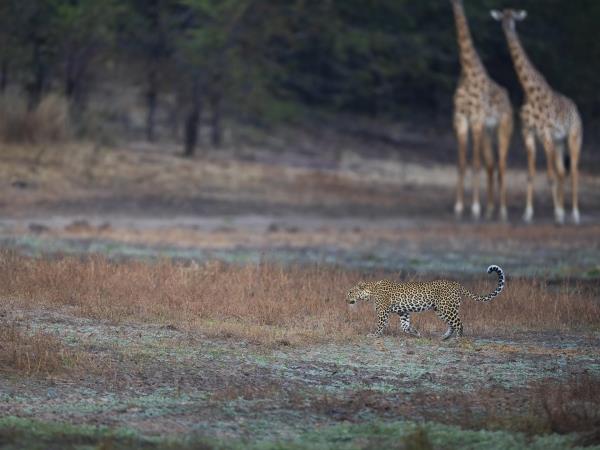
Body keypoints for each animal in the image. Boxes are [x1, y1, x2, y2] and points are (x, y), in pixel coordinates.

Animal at [346, 265, 505, 340]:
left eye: (350, 292)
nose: (345, 299)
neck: (371, 291)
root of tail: (457, 284)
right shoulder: (403, 312)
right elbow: (405, 326)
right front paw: (416, 333)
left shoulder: (383, 312)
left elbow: (380, 325)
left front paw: (374, 335)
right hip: (440, 310)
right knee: (452, 325)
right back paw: (444, 337)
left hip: (447, 308)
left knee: (459, 324)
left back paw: (457, 339)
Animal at [451, 0, 513, 221]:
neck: (467, 69)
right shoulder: (460, 119)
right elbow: (462, 162)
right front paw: (459, 207)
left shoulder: (476, 120)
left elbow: (475, 162)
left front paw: (475, 208)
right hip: (489, 132)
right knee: (491, 164)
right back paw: (491, 209)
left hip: (504, 128)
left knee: (502, 163)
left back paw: (503, 210)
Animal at [491, 9, 583, 224]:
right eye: (502, 18)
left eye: (514, 19)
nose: (507, 29)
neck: (530, 90)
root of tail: (577, 111)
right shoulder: (529, 133)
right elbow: (531, 174)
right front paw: (528, 213)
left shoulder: (545, 134)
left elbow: (549, 176)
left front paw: (558, 214)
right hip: (560, 142)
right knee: (562, 171)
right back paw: (565, 211)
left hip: (574, 137)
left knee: (574, 171)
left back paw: (574, 214)